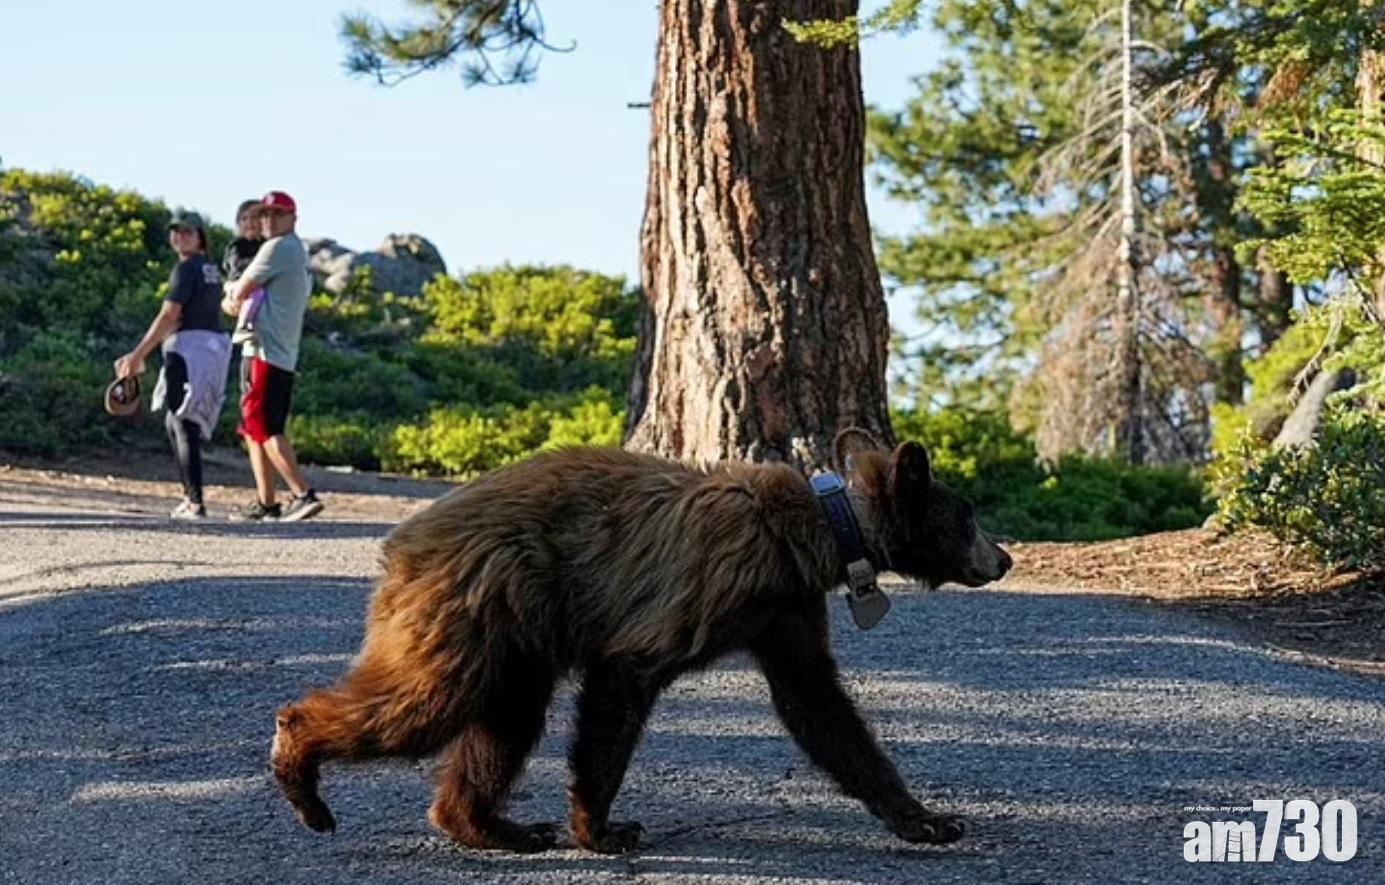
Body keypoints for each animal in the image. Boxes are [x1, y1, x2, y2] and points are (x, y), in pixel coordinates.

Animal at [270, 432, 1012, 854]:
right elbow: (623, 680)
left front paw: (926, 820)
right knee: (422, 705)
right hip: (468, 608)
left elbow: (818, 705)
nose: (1003, 558)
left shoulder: (783, 610)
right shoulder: (717, 582)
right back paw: (300, 769)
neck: (824, 531)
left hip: (512, 637)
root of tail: (402, 541)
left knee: (505, 724)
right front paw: (600, 829)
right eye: (968, 514)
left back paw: (492, 826)